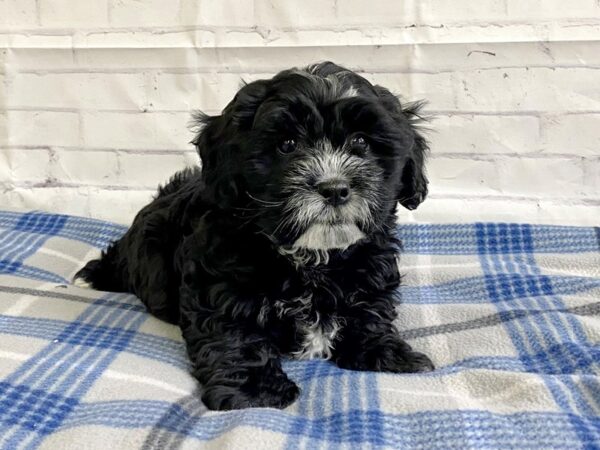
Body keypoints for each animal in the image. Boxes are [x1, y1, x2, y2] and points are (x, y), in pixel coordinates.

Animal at [75, 61, 434, 410]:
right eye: (287, 145)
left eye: (361, 142)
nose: (334, 188)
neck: (313, 258)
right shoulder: (220, 284)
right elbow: (236, 332)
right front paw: (255, 391)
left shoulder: (372, 266)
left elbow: (371, 310)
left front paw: (387, 354)